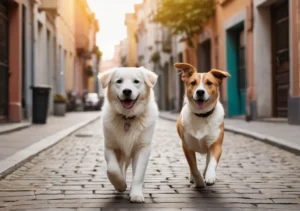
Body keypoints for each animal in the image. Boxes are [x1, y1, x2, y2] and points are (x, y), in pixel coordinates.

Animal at [99, 67, 158, 202]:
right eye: (119, 81)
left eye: (136, 81)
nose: (127, 91)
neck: (127, 118)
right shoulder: (110, 146)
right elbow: (112, 169)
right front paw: (120, 185)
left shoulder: (142, 148)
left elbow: (138, 174)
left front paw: (136, 194)